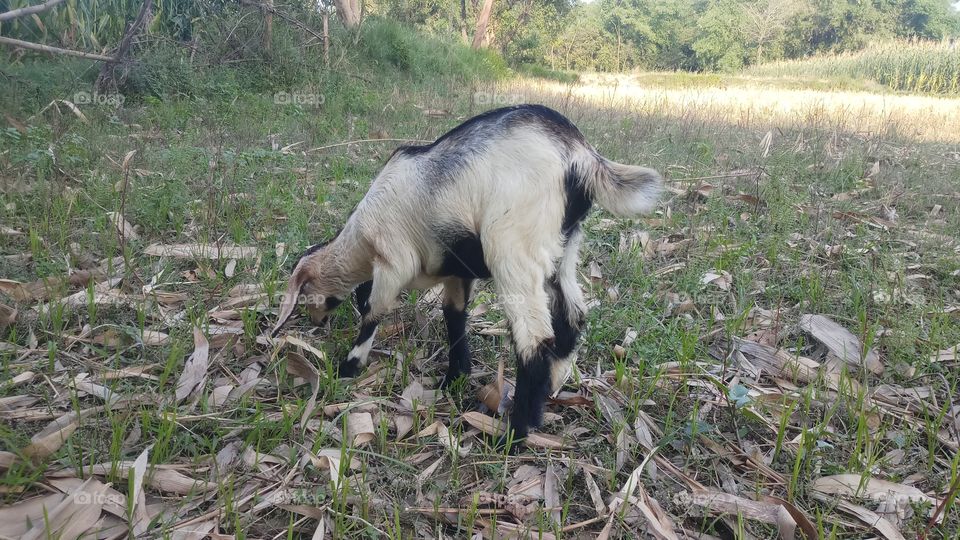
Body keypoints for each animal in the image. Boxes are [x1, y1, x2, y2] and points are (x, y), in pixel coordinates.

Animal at [270, 104, 660, 448]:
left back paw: (514, 436)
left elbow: (373, 314)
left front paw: (348, 367)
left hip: (512, 248)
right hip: (564, 249)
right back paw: (547, 393)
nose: (315, 322)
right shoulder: (456, 268)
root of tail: (582, 155)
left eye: (305, 294)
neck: (360, 239)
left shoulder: (395, 261)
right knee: (572, 317)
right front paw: (454, 377)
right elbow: (454, 315)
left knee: (534, 339)